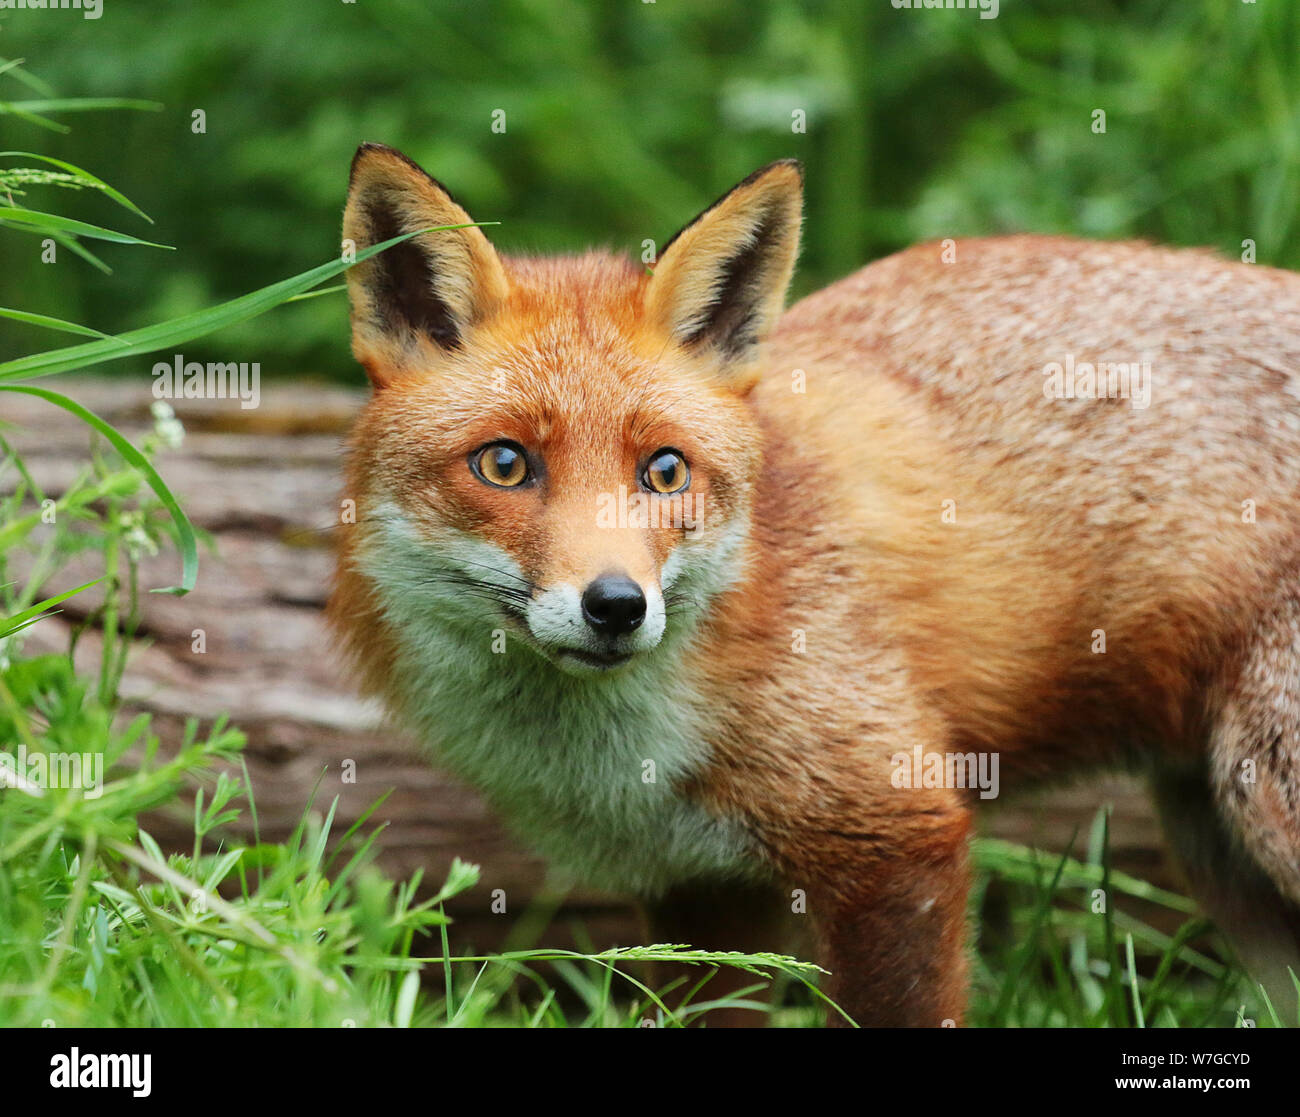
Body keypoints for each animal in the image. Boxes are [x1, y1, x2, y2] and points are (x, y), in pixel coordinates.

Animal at [330, 144, 1300, 1024]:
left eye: (665, 471)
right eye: (504, 463)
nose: (616, 605)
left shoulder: (895, 829)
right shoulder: (697, 889)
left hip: (1264, 803)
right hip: (1221, 851)